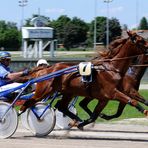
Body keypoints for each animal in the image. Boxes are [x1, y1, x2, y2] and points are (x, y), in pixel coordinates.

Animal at [19, 30, 148, 127]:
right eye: (141, 41)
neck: (113, 69)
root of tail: (45, 69)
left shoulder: (105, 98)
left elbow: (94, 115)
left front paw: (82, 123)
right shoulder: (113, 92)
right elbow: (132, 101)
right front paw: (145, 111)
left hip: (68, 92)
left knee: (62, 107)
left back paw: (77, 120)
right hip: (44, 91)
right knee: (28, 102)